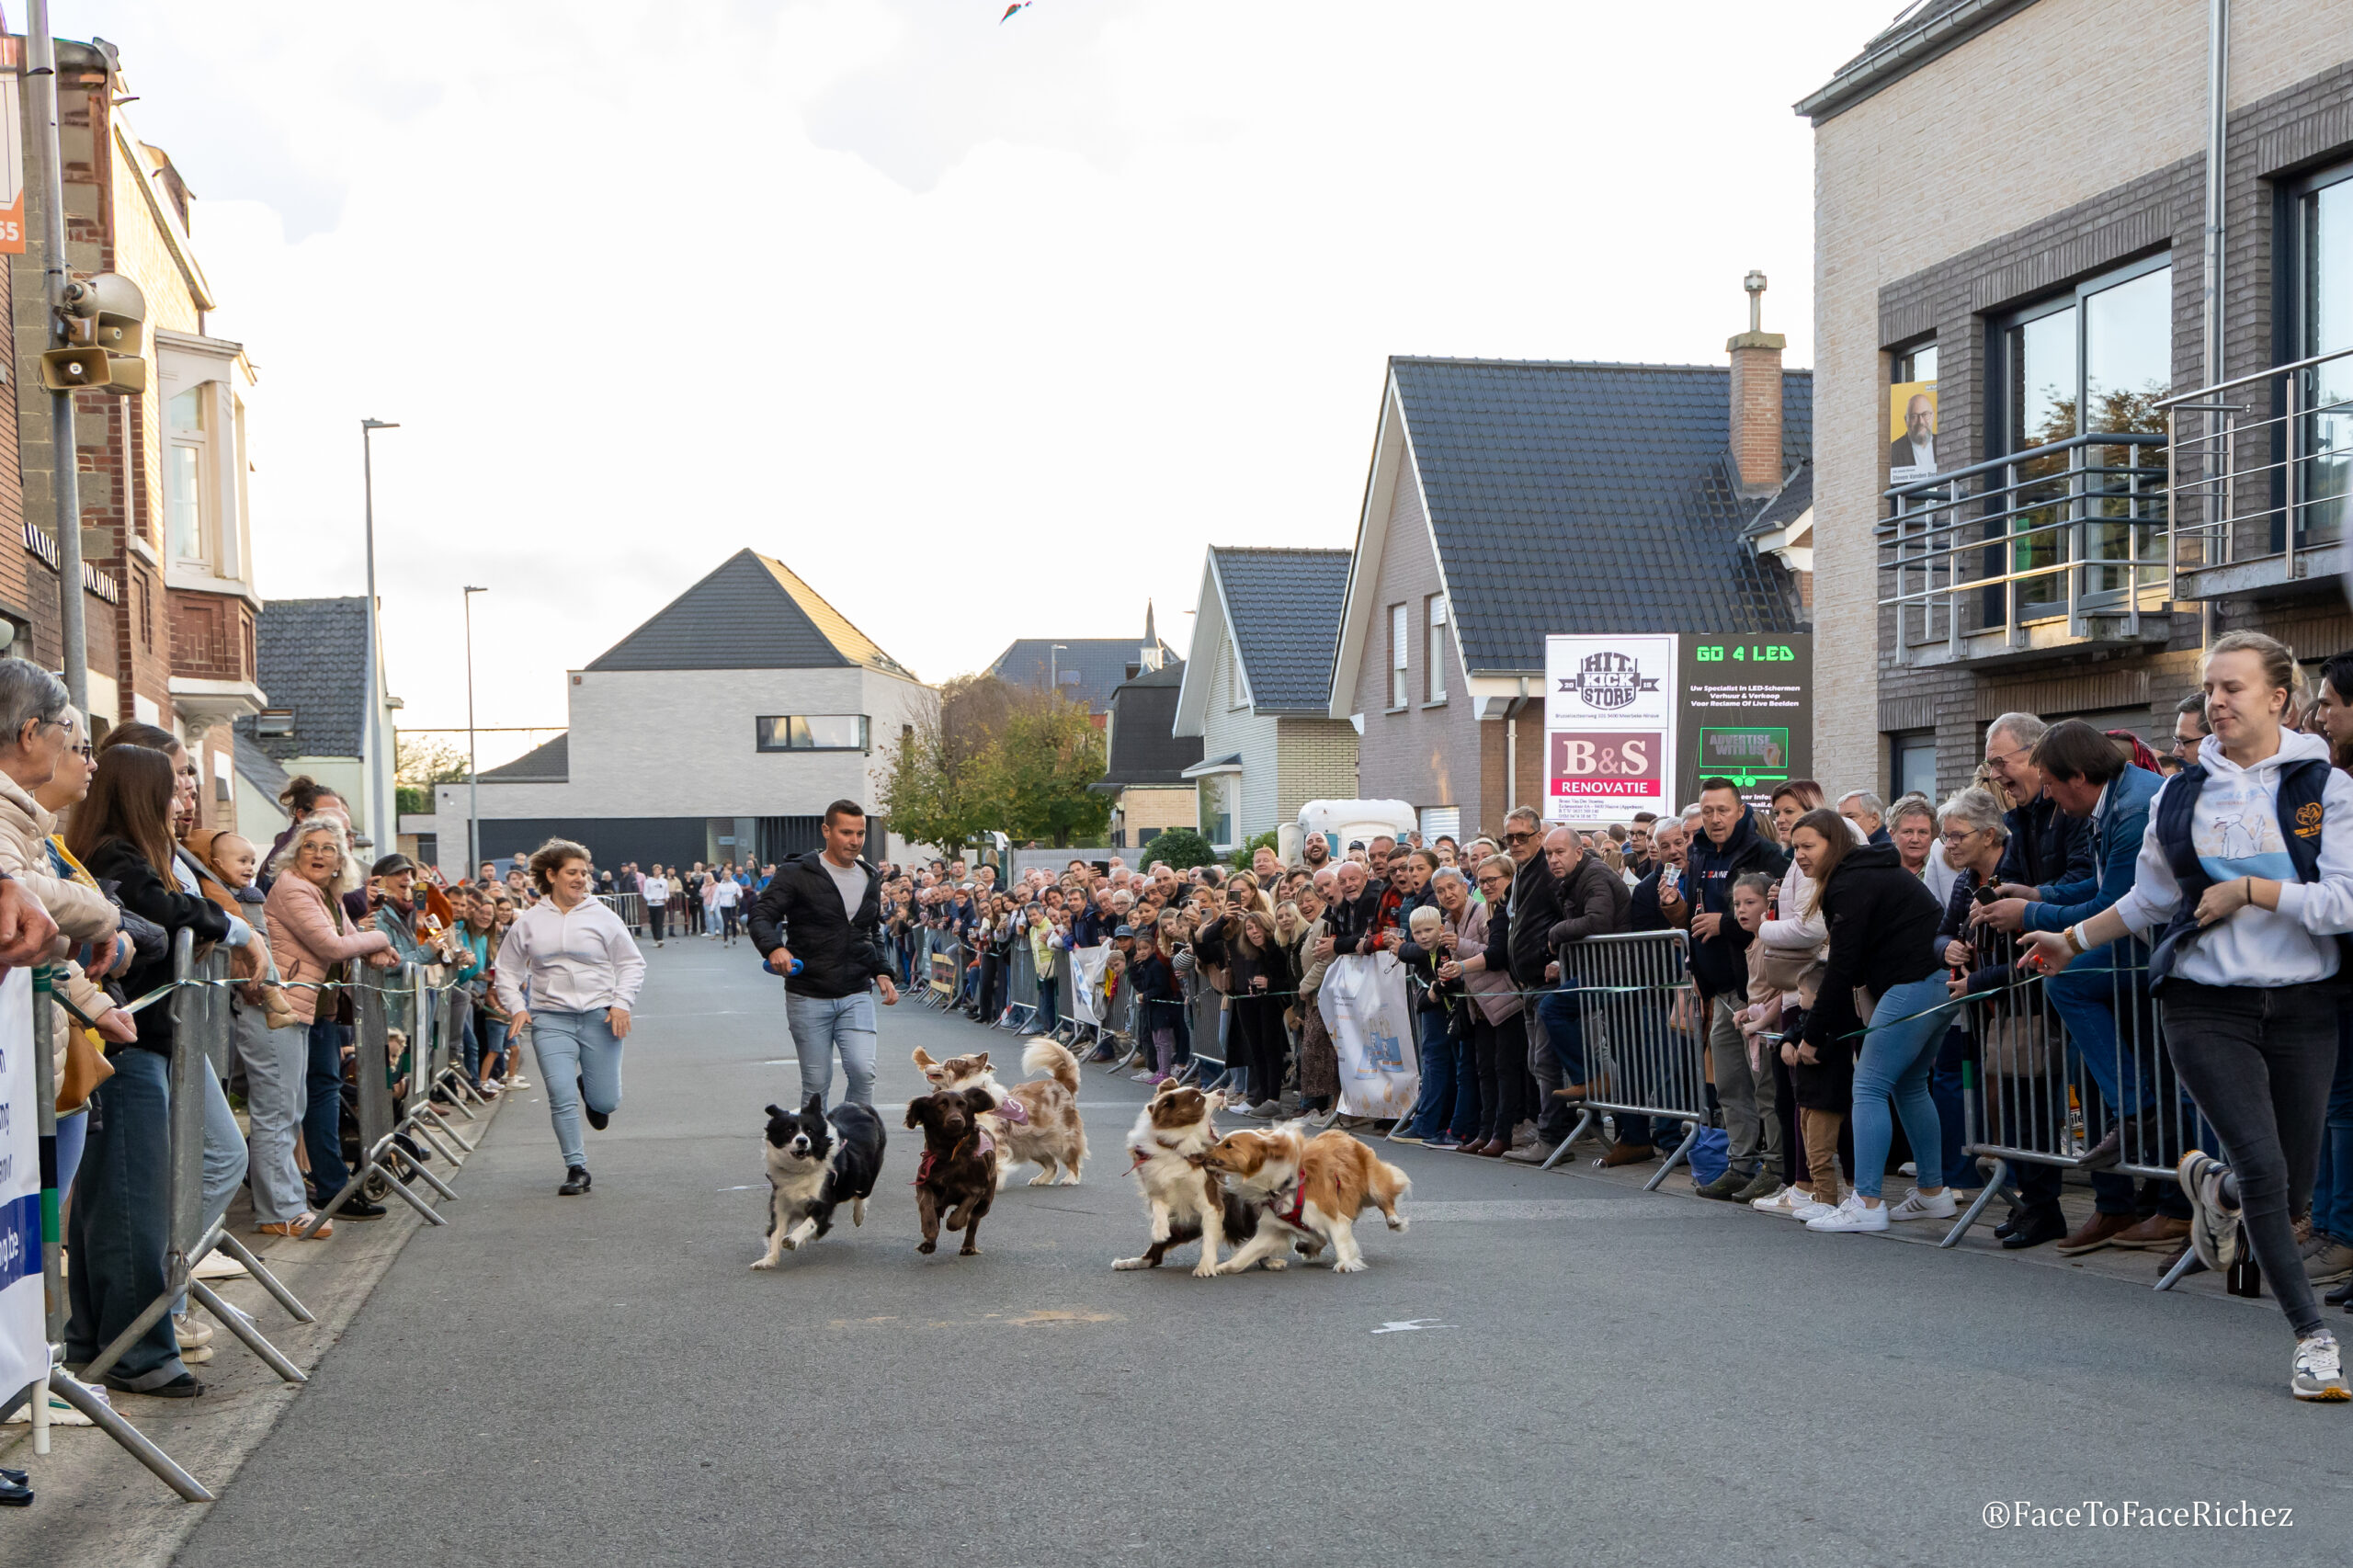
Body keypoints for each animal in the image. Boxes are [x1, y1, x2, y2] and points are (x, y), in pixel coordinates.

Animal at [753, 1092, 884, 1261]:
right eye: (789, 1130)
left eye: (810, 1131)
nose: (802, 1141)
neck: (800, 1169)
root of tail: (861, 1105)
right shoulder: (781, 1201)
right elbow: (776, 1232)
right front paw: (768, 1260)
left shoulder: (822, 1201)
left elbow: (810, 1223)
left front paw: (793, 1240)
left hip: (868, 1174)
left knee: (862, 1194)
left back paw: (858, 1215)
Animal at [904, 1036, 1086, 1187]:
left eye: (947, 1064)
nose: (927, 1065)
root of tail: (1061, 1083)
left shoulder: (996, 1140)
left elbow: (997, 1163)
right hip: (1033, 1142)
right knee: (1052, 1164)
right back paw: (1041, 1179)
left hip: (1063, 1136)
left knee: (1071, 1158)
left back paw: (1070, 1179)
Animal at [904, 1083, 997, 1252]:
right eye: (941, 1104)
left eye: (962, 1104)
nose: (956, 1120)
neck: (949, 1150)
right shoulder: (925, 1184)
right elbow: (927, 1206)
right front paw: (929, 1231)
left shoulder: (977, 1188)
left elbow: (963, 1210)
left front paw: (954, 1223)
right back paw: (928, 1243)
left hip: (986, 1202)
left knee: (974, 1221)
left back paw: (968, 1247)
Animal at [1115, 1083, 1261, 1280]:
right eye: (1198, 1099)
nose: (1222, 1090)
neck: (1176, 1148)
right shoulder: (1155, 1184)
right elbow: (1158, 1205)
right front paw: (1159, 1230)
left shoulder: (1209, 1198)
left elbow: (1209, 1239)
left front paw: (1205, 1267)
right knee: (1154, 1256)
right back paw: (1129, 1262)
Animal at [1204, 1125, 1402, 1271]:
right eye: (1222, 1140)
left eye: (1229, 1145)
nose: (1205, 1153)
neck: (1282, 1183)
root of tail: (1340, 1132)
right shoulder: (1272, 1228)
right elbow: (1245, 1255)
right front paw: (1219, 1267)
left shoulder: (1332, 1214)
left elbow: (1339, 1240)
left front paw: (1345, 1263)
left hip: (1373, 1184)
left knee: (1385, 1197)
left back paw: (1394, 1220)